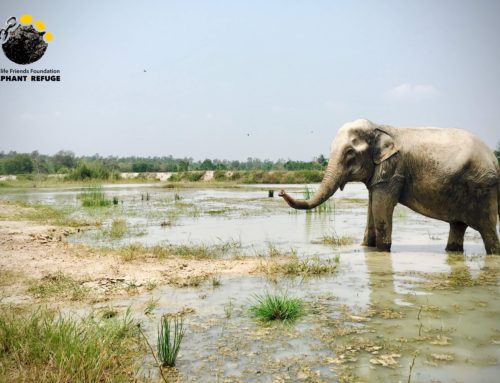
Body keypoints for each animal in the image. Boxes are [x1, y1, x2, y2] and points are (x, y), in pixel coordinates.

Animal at [280, 118, 498, 254]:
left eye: (350, 153)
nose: (281, 191)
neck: (378, 126)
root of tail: (494, 159)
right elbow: (371, 207)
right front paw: (367, 247)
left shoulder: (392, 167)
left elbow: (380, 207)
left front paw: (382, 251)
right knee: (458, 225)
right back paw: (453, 251)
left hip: (484, 189)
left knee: (487, 230)